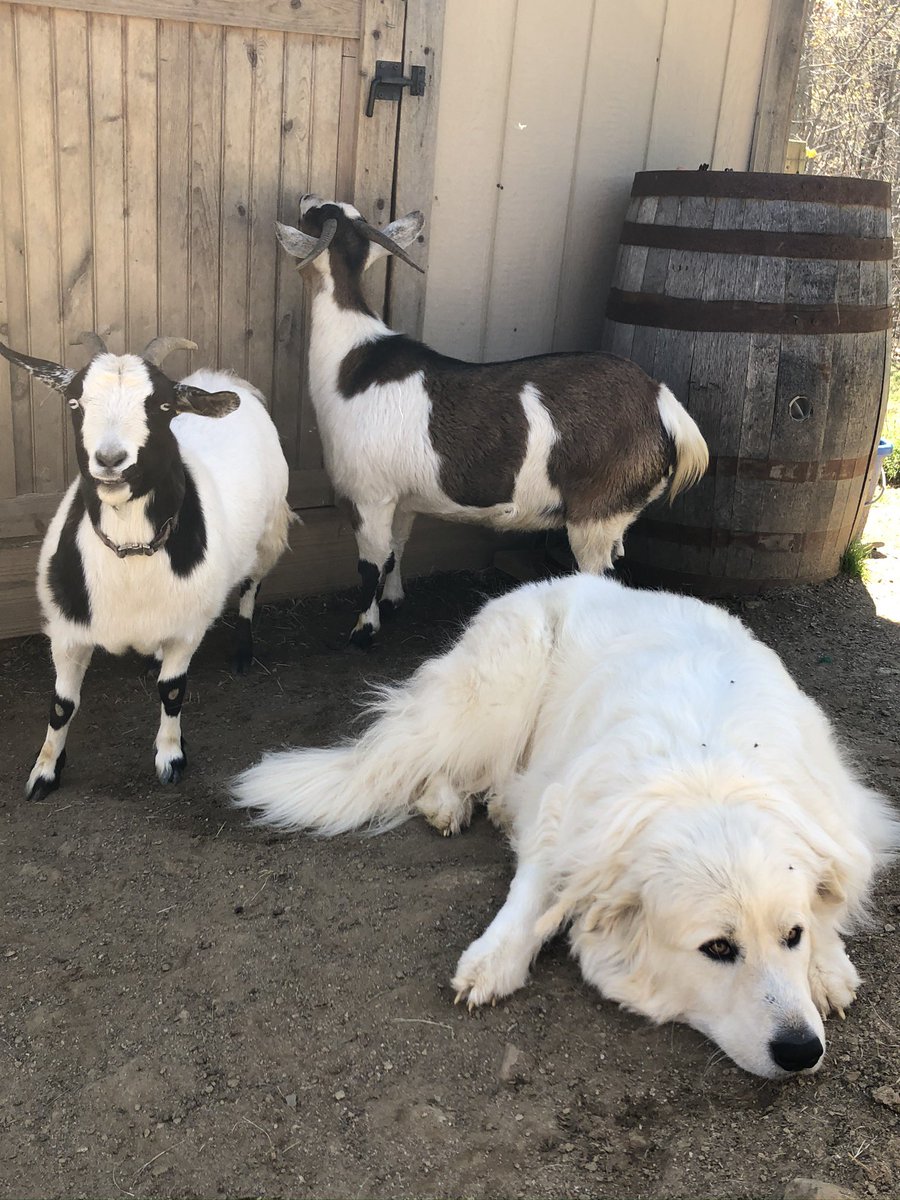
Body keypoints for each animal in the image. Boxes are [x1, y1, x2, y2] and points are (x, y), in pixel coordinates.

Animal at [0, 333, 294, 799]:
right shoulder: (67, 631)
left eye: (163, 406)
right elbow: (61, 705)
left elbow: (172, 692)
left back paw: (243, 652)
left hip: (268, 532)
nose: (110, 459)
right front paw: (45, 772)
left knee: (251, 585)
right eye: (74, 402)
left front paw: (170, 757)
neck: (132, 553)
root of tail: (224, 380)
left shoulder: (189, 627)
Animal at [275, 197, 709, 646]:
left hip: (596, 513)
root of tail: (662, 403)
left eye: (316, 214)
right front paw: (394, 603)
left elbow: (370, 564)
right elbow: (396, 549)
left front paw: (364, 630)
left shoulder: (369, 495)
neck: (352, 361)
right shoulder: (402, 498)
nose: (305, 198)